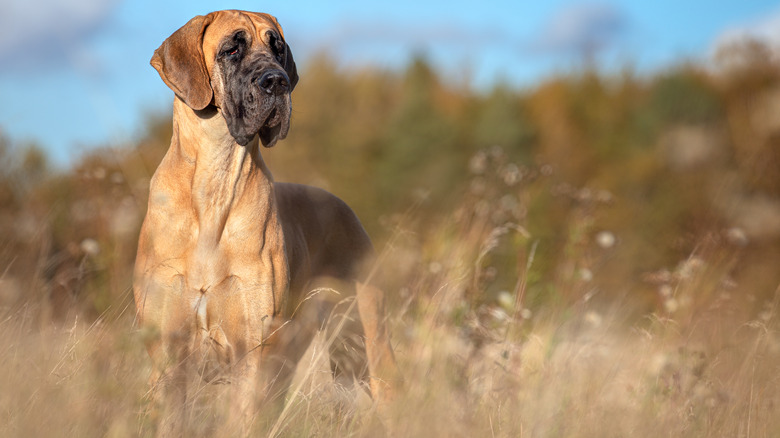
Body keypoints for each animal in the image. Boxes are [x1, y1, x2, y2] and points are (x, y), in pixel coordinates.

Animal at [133, 10, 400, 434]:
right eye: (232, 49)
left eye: (278, 48)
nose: (278, 81)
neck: (215, 182)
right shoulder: (167, 351)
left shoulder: (253, 347)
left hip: (366, 339)